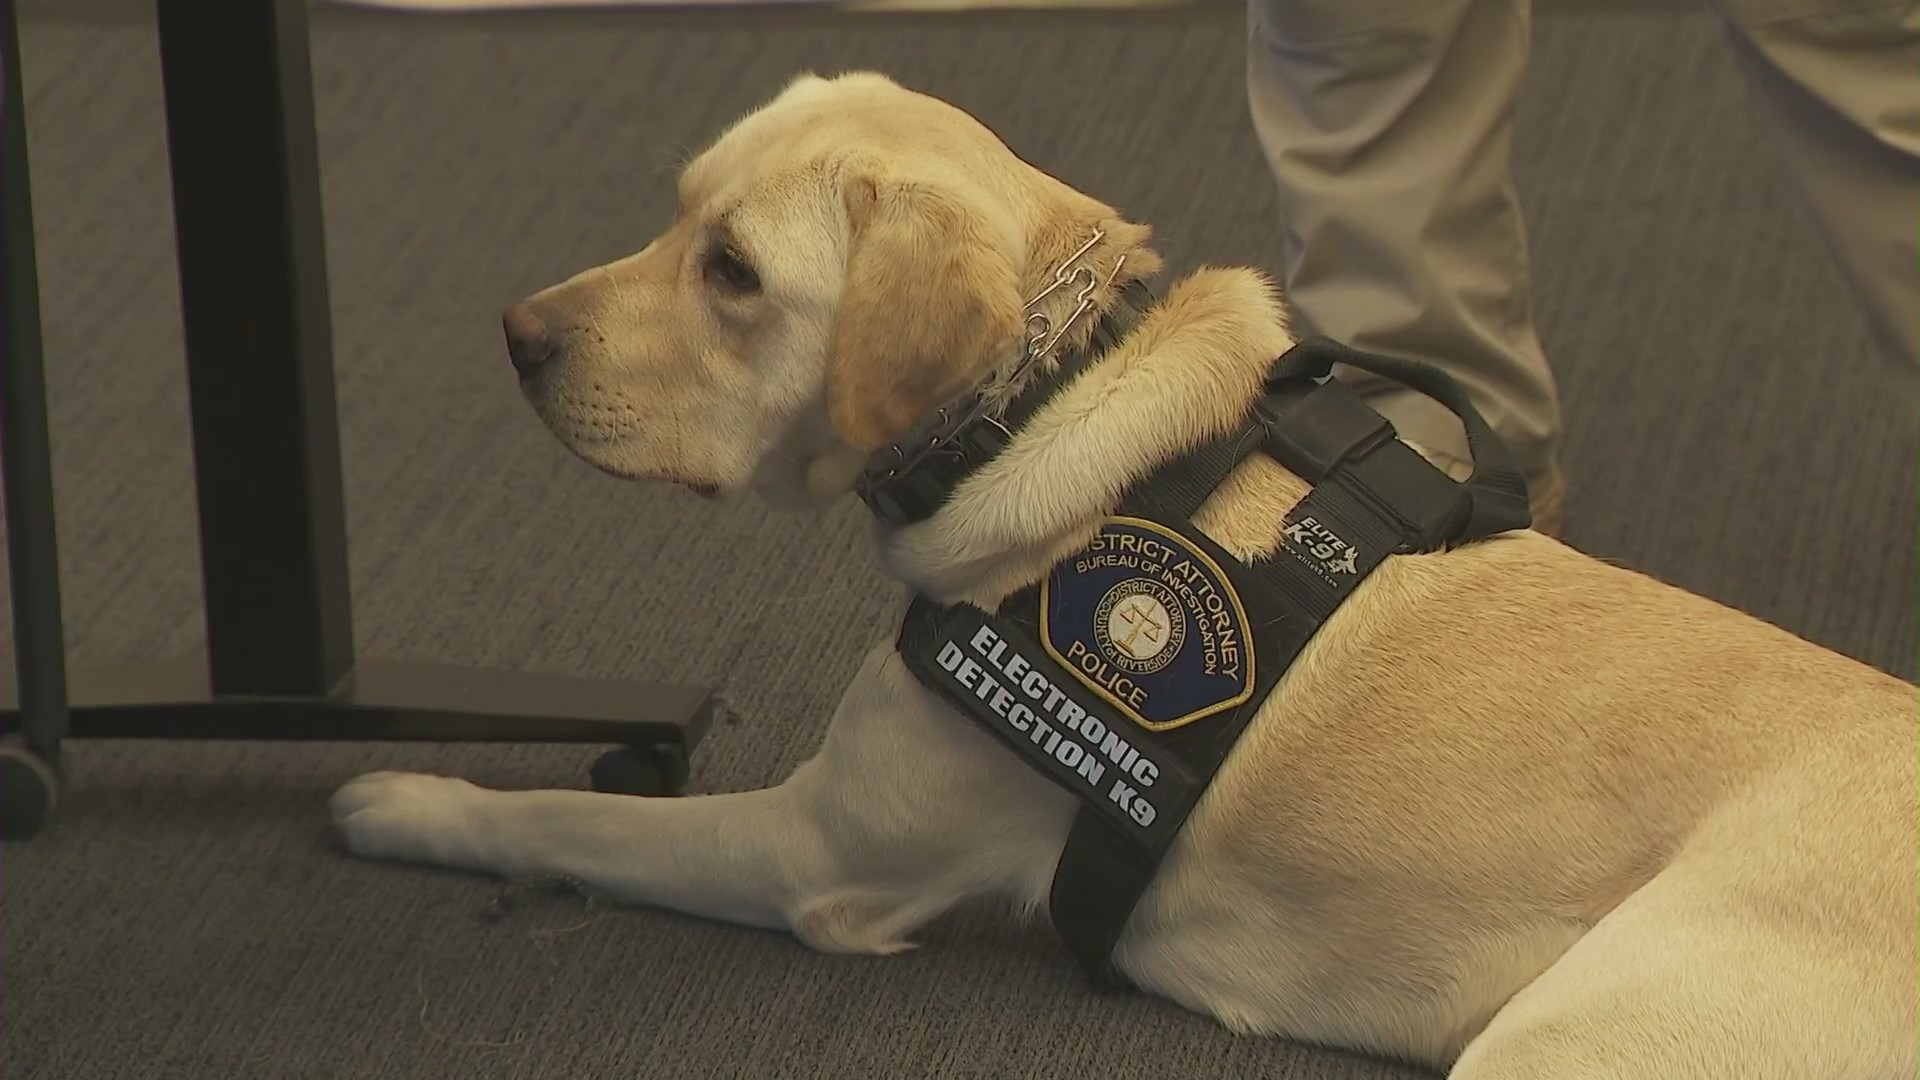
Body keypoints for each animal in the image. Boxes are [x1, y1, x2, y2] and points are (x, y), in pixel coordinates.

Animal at [334, 71, 1920, 1068]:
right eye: (673, 215)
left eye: (733, 273)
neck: (1049, 394)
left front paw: (413, 800)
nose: (516, 334)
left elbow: (568, 818)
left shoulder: (821, 853)